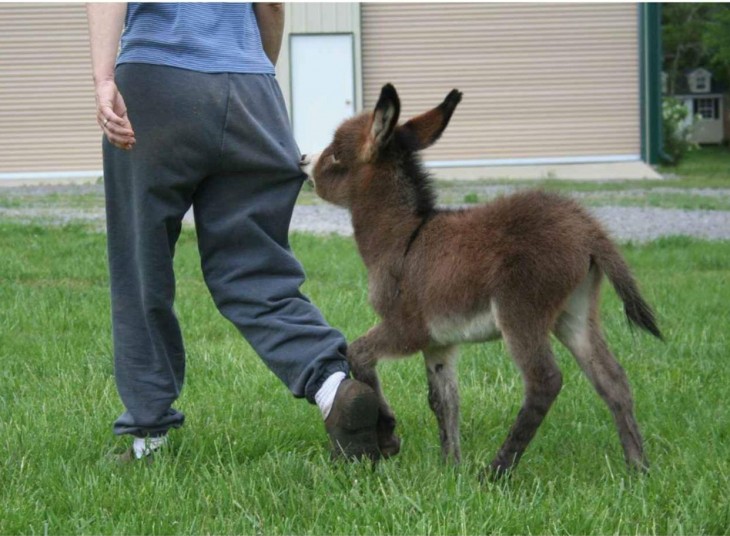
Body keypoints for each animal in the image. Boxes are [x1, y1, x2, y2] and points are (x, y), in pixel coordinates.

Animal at [302, 84, 660, 478]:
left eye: (336, 154)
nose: (303, 159)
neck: (405, 236)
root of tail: (587, 229)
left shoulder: (406, 329)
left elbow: (357, 353)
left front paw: (388, 435)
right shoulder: (439, 343)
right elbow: (443, 400)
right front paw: (449, 467)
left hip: (521, 312)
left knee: (545, 381)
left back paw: (497, 471)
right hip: (574, 313)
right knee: (612, 379)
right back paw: (638, 468)